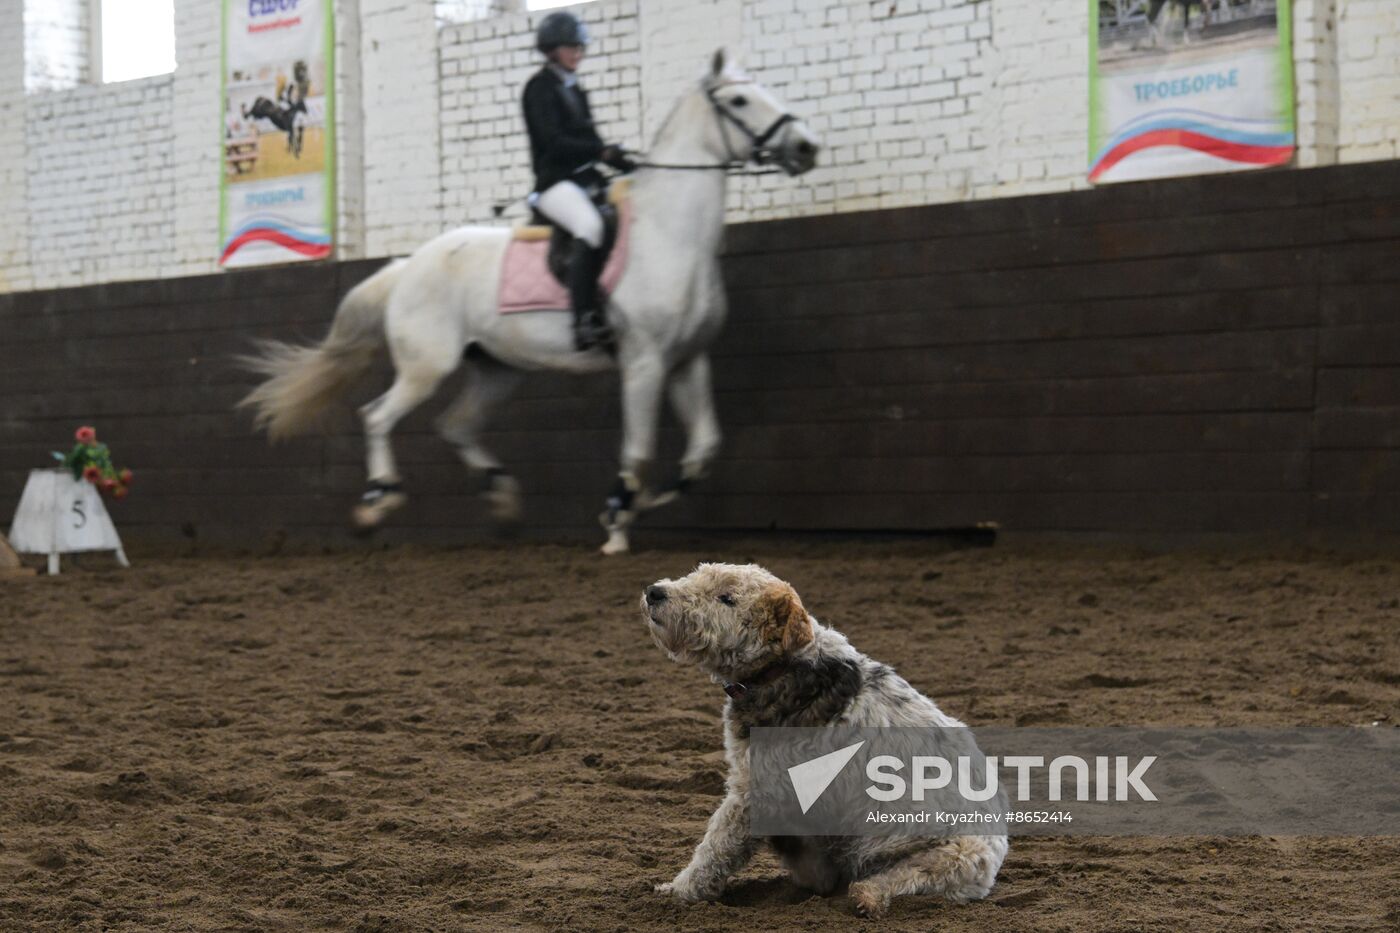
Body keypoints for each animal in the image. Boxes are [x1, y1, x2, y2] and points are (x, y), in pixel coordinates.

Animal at [239, 52, 817, 551]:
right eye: (739, 100)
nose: (806, 147)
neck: (669, 234)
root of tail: (407, 266)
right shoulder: (645, 362)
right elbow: (638, 450)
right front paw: (616, 522)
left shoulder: (687, 360)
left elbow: (702, 451)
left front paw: (643, 502)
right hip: (427, 365)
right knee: (378, 416)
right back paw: (376, 504)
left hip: (497, 368)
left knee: (457, 424)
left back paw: (502, 501)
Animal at [644, 560, 1008, 913]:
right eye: (698, 573)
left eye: (727, 598)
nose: (654, 592)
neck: (782, 669)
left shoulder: (754, 790)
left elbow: (715, 848)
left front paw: (679, 891)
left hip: (955, 855)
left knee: (897, 879)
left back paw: (866, 896)